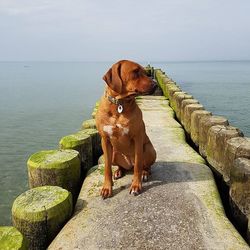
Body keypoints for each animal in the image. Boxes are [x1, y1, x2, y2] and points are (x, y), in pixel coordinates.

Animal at [95, 59, 156, 198]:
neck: (119, 104)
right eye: (135, 72)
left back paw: (145, 173)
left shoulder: (138, 138)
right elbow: (107, 168)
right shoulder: (105, 140)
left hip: (149, 149)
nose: (155, 84)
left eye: (146, 72)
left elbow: (138, 165)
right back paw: (119, 171)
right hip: (114, 154)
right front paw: (107, 187)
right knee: (120, 165)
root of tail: (129, 165)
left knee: (144, 165)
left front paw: (136, 185)